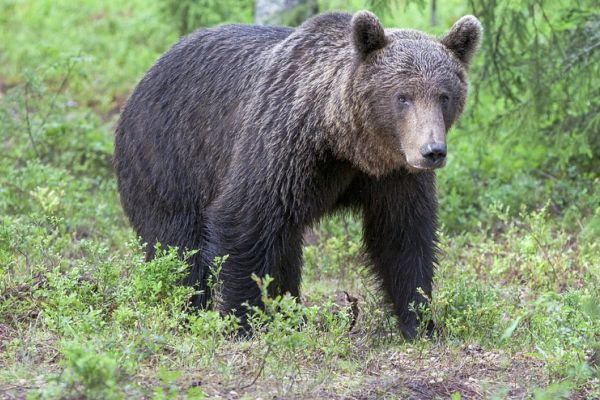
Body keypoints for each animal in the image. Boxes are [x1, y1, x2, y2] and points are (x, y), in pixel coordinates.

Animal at [113, 10, 482, 338]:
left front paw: (420, 323)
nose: (432, 151)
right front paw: (243, 321)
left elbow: (402, 237)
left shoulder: (394, 176)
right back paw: (187, 310)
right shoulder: (282, 148)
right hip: (169, 161)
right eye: (403, 96)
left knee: (285, 247)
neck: (345, 145)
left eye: (444, 96)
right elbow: (244, 221)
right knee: (177, 247)